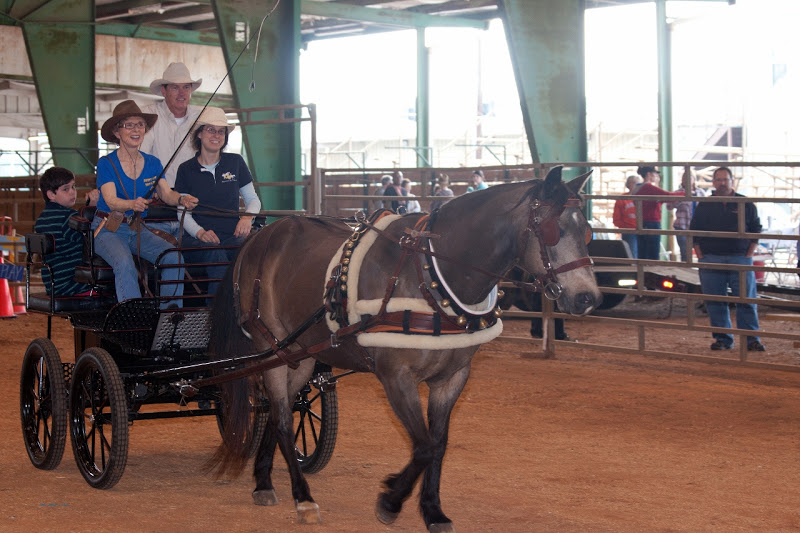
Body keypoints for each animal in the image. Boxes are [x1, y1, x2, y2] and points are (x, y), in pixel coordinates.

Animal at [206, 165, 600, 528]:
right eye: (552, 229)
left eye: (587, 231)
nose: (588, 298)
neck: (431, 274)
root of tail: (260, 237)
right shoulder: (396, 376)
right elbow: (423, 445)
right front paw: (391, 499)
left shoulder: (452, 377)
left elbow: (438, 445)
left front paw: (433, 511)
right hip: (271, 348)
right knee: (284, 419)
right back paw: (303, 497)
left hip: (300, 356)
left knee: (278, 412)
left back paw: (263, 481)